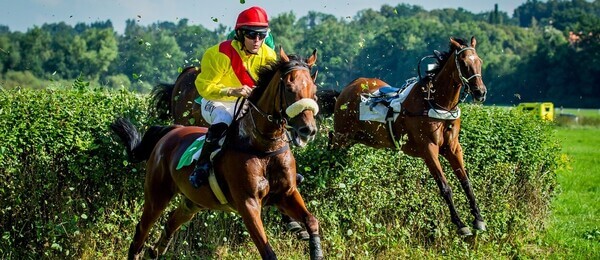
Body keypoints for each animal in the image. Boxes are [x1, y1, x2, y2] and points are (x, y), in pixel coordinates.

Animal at [115, 47, 326, 258]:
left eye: (314, 92)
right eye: (289, 88)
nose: (308, 130)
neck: (263, 147)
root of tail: (171, 131)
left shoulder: (287, 193)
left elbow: (311, 220)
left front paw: (315, 251)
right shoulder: (248, 204)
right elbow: (267, 251)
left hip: (193, 201)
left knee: (172, 220)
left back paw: (155, 251)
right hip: (157, 196)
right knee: (141, 230)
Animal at [328, 37, 488, 237]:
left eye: (479, 61)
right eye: (465, 63)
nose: (481, 92)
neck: (437, 103)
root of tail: (345, 89)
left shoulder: (453, 147)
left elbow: (466, 182)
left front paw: (479, 219)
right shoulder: (428, 149)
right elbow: (445, 187)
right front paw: (460, 224)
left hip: (358, 138)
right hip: (342, 136)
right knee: (330, 149)